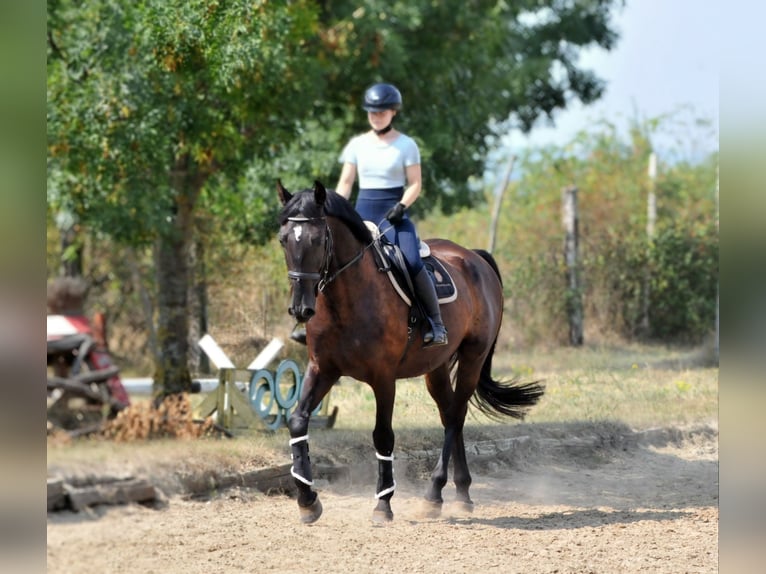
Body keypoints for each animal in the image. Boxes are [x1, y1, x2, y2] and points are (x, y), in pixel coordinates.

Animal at [276, 181, 544, 528]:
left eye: (318, 239)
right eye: (283, 240)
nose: (301, 308)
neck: (346, 298)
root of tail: (474, 257)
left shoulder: (383, 378)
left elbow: (383, 436)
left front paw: (383, 504)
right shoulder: (323, 368)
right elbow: (297, 422)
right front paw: (308, 501)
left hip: (473, 357)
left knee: (455, 416)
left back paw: (433, 493)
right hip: (437, 367)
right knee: (450, 414)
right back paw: (461, 494)